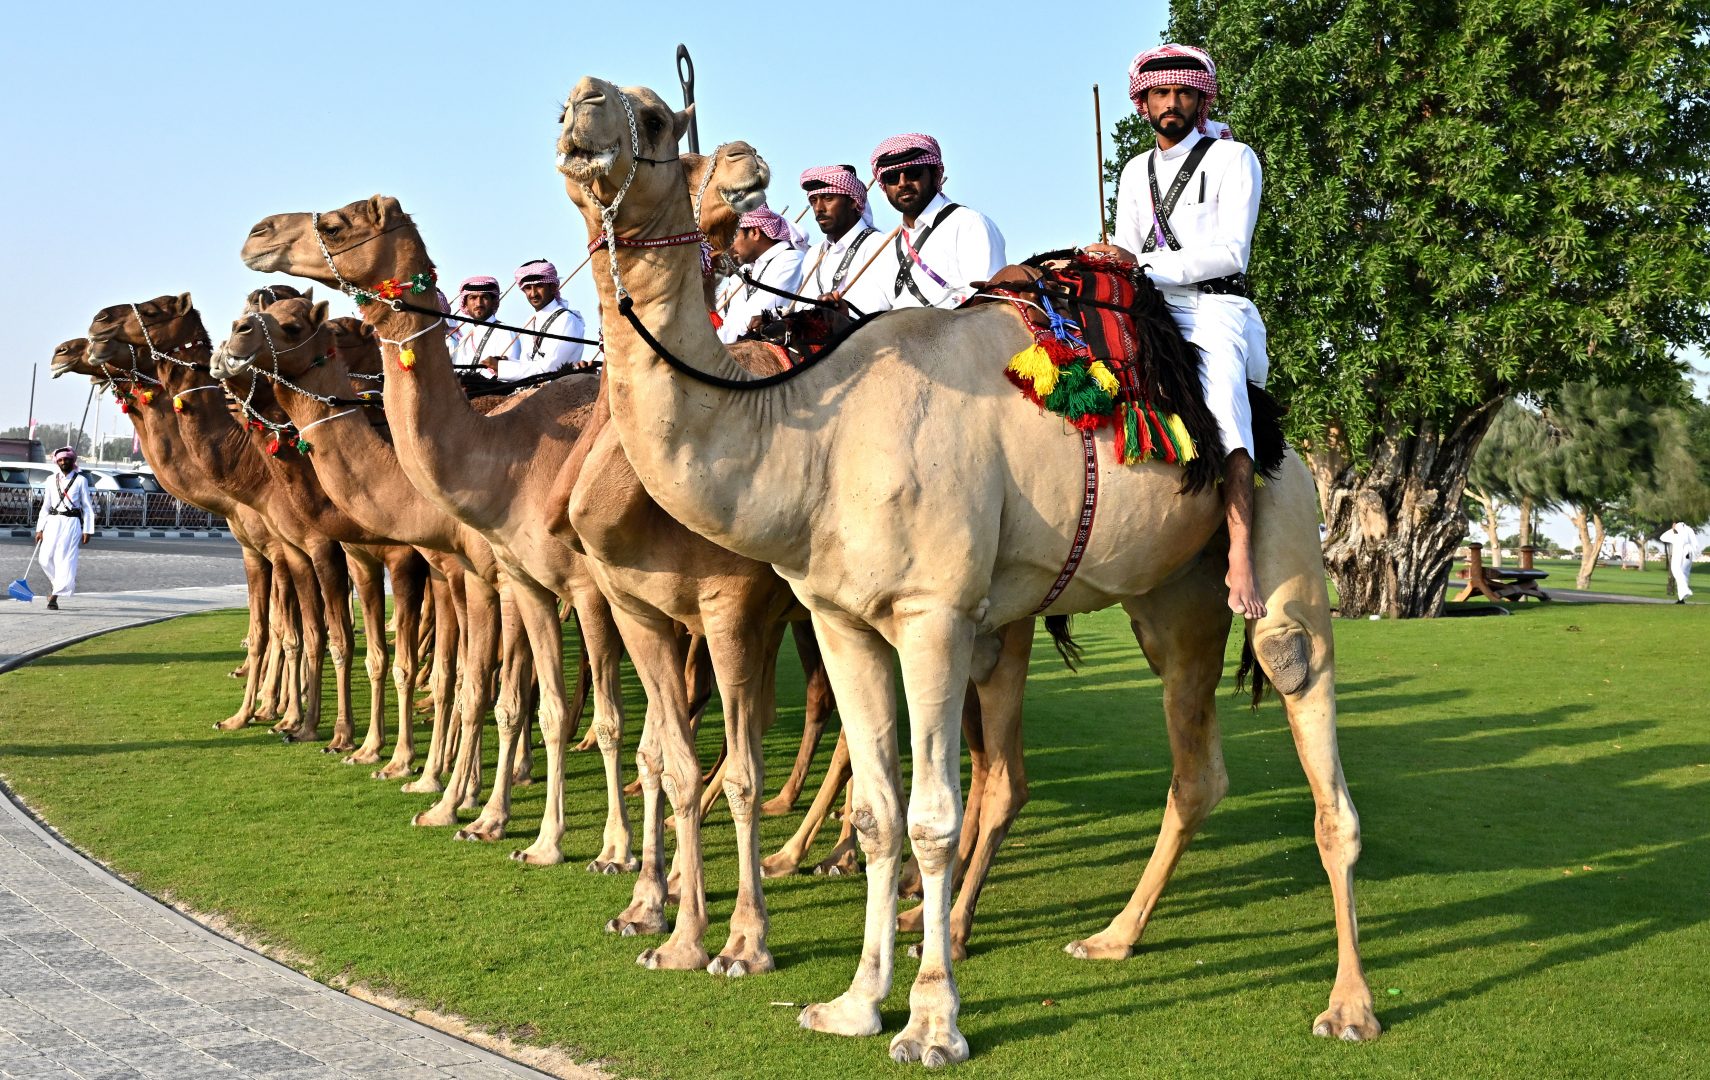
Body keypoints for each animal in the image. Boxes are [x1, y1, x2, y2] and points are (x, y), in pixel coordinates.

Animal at [554, 78, 1381, 1066]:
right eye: (593, 105)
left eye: (654, 118)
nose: (580, 108)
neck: (813, 436)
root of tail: (1274, 423)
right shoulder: (838, 616)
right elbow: (878, 813)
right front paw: (852, 1003)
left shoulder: (934, 615)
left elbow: (932, 817)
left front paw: (930, 1021)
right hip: (1169, 602)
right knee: (1196, 767)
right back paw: (1112, 937)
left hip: (1283, 537)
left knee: (1306, 704)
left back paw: (1349, 1005)